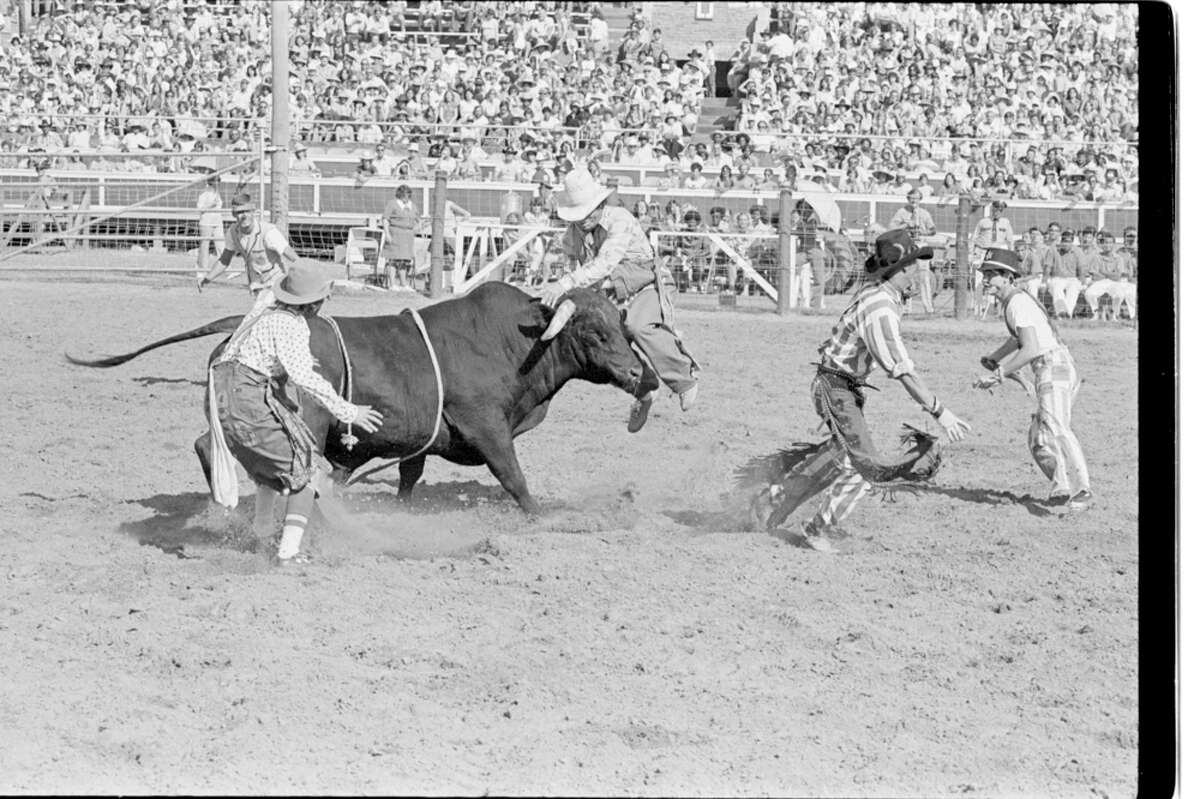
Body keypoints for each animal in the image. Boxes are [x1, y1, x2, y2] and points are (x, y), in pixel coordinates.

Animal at [63, 283, 648, 513]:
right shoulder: (488, 428)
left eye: (622, 326)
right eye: (594, 332)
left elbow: (408, 478)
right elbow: (514, 477)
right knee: (210, 446)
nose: (639, 373)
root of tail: (245, 324)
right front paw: (540, 515)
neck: (515, 342)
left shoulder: (418, 440)